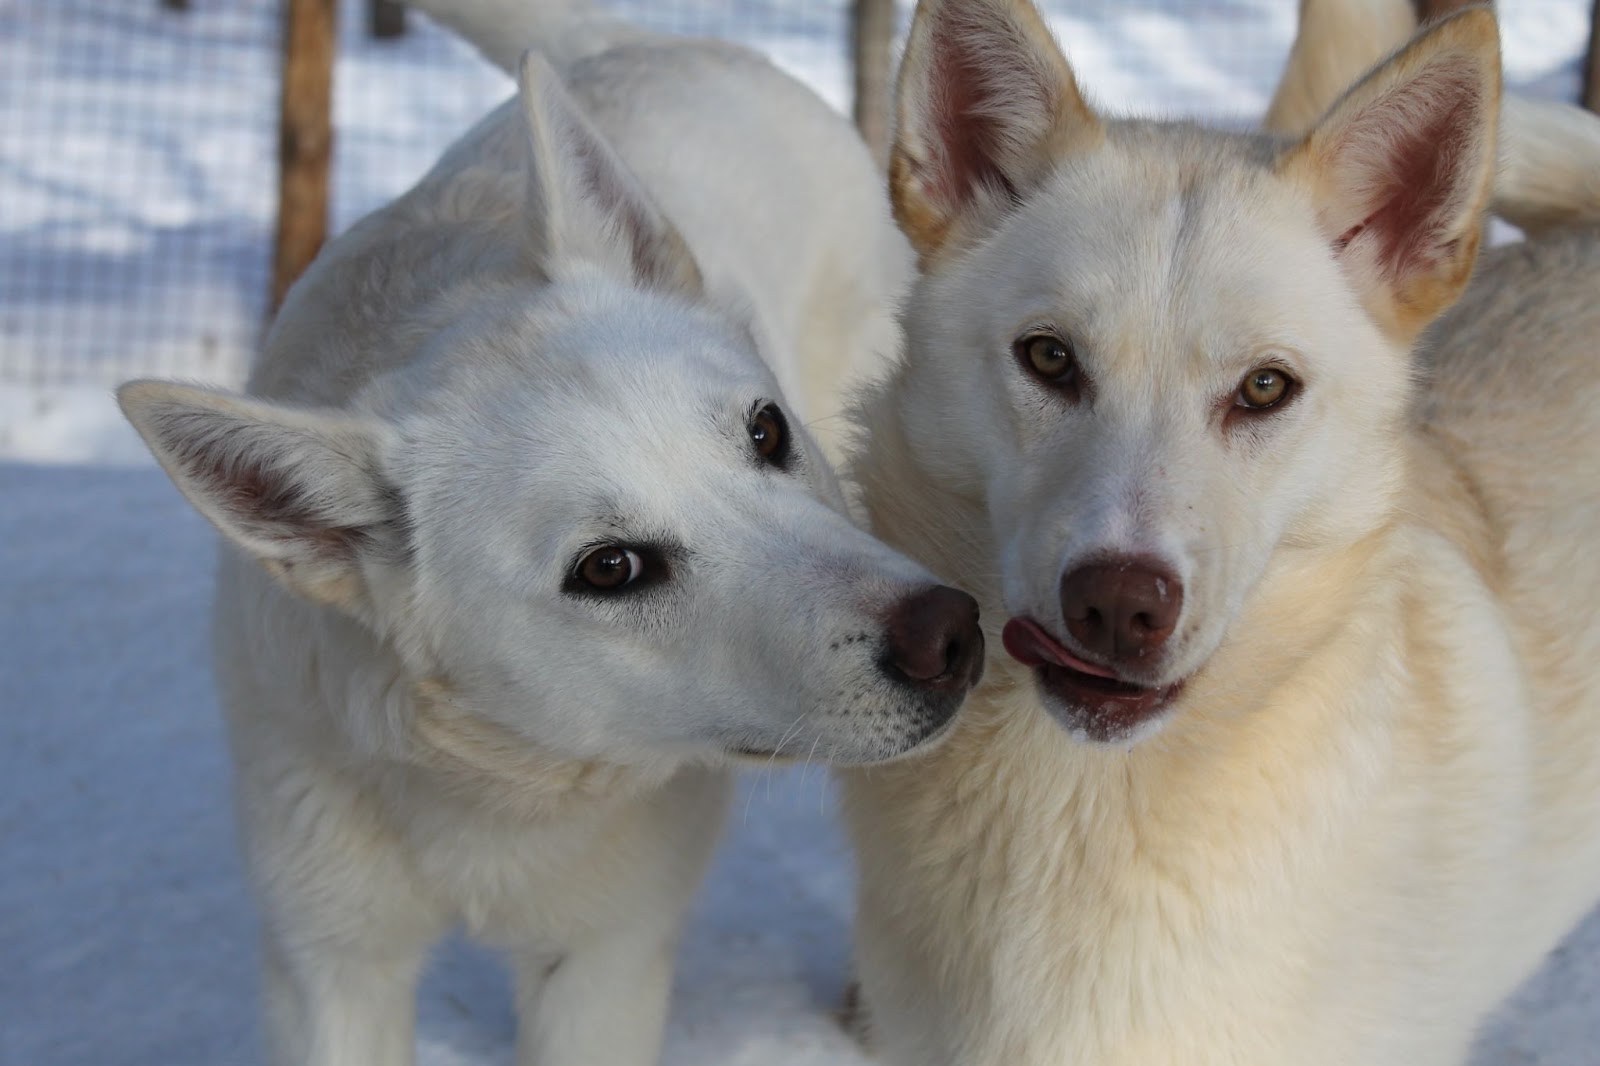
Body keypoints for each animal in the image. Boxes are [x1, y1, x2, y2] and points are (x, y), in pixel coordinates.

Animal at [116, 2, 972, 1062]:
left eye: (766, 431)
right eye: (610, 568)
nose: (950, 633)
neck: (492, 793)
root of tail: (647, 44)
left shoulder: (603, 962)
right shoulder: (328, 963)